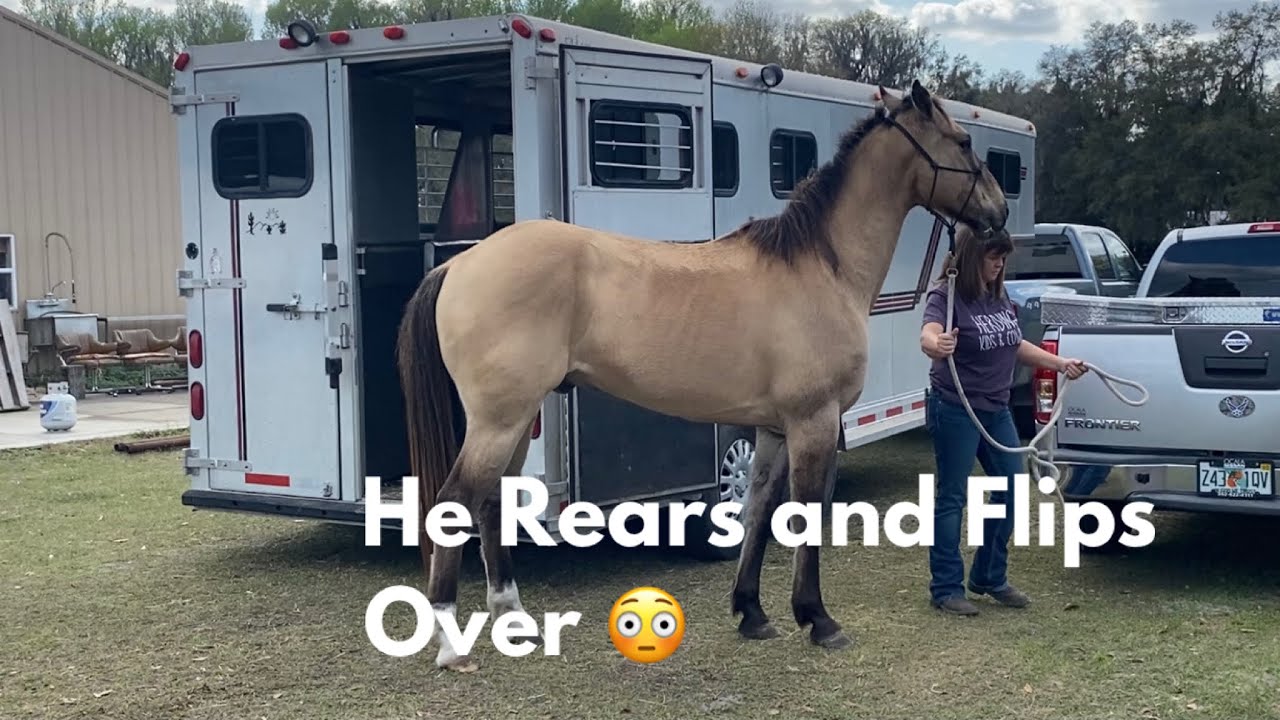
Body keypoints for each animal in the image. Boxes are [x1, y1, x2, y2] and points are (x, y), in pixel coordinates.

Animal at [395, 79, 1010, 672]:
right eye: (963, 143)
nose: (1000, 214)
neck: (821, 266)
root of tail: (461, 263)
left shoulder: (774, 429)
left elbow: (758, 511)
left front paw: (752, 612)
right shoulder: (813, 422)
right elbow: (805, 515)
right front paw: (817, 619)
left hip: (516, 421)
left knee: (492, 504)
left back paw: (513, 618)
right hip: (499, 421)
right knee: (455, 503)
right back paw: (451, 645)